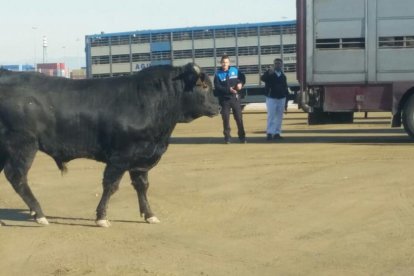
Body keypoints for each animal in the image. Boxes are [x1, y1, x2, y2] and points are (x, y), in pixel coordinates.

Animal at [0, 63, 220, 226]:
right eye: (204, 86)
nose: (217, 106)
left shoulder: (140, 158)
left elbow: (142, 186)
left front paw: (149, 214)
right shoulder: (120, 157)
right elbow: (111, 186)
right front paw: (101, 217)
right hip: (23, 144)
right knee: (17, 177)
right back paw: (39, 213)